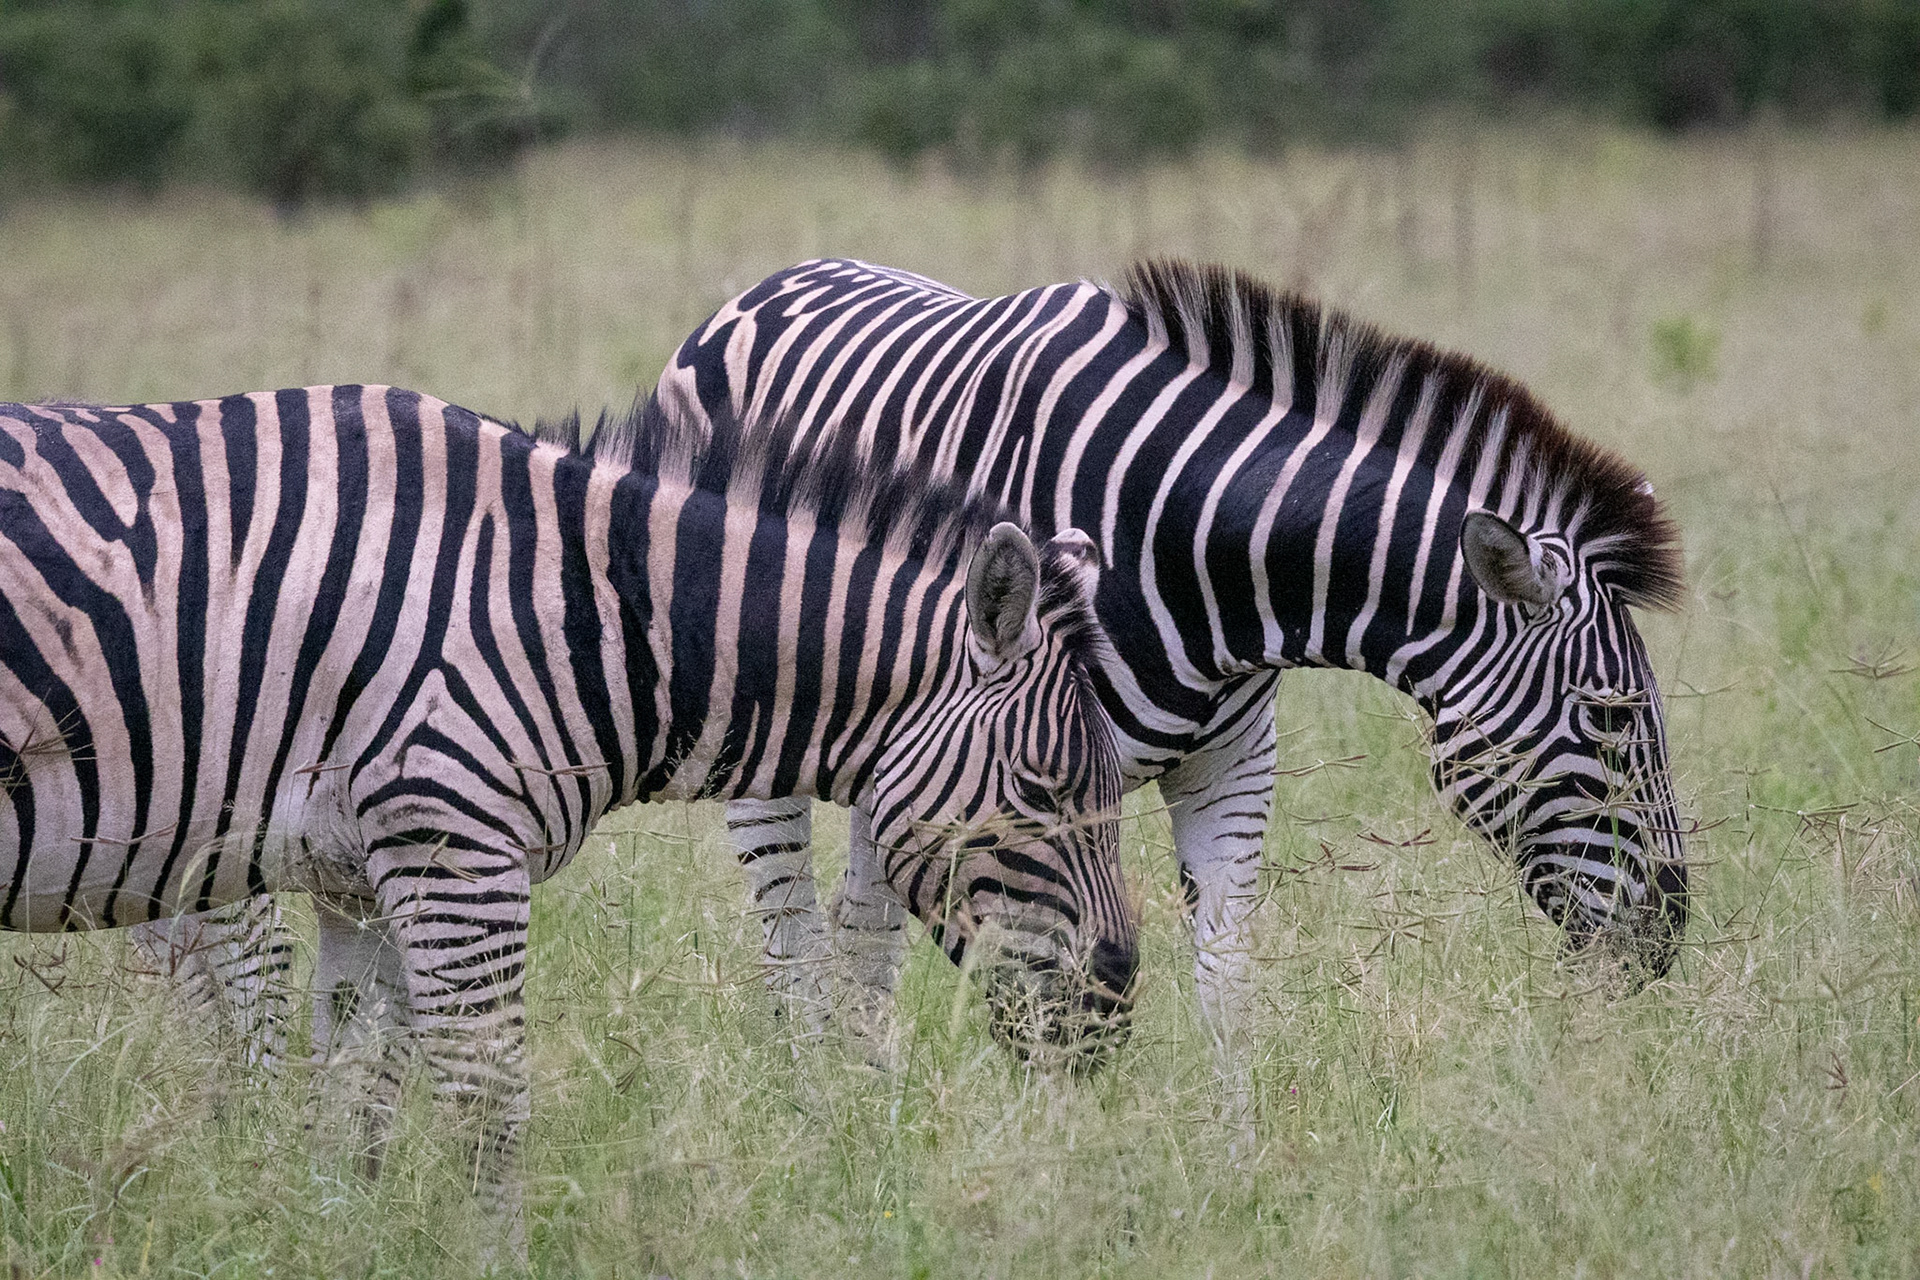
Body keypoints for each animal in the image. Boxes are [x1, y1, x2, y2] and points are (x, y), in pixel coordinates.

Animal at [0, 384, 1135, 1257]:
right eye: (1044, 791)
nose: (1117, 1008)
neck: (579, 611)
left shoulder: (360, 873)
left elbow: (355, 1109)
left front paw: (331, 1241)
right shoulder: (452, 846)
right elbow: (488, 1104)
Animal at [655, 256, 1690, 1082]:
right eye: (1610, 719)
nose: (1667, 939)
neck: (1197, 561)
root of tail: (759, 287)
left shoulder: (1231, 766)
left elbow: (1225, 985)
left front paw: (1234, 1171)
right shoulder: (1025, 777)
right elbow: (1042, 985)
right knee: (800, 932)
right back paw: (825, 1098)